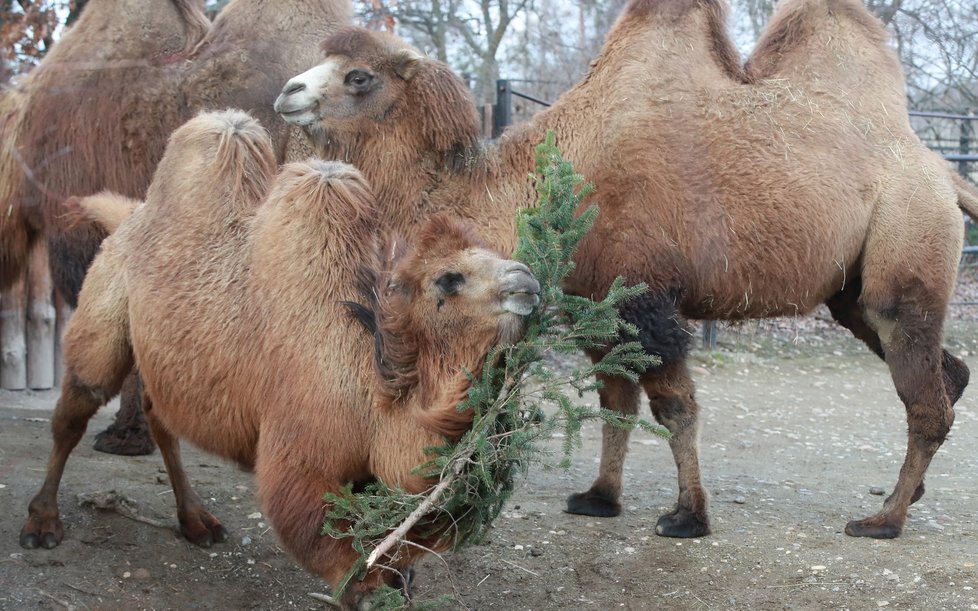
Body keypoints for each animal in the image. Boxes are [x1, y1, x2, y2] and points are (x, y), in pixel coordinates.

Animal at [276, 0, 976, 540]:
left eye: (359, 76)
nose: (287, 92)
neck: (555, 179)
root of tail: (943, 172)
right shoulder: (598, 303)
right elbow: (615, 401)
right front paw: (599, 498)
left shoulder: (645, 298)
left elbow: (673, 406)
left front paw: (688, 517)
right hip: (853, 293)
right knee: (946, 371)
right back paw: (908, 494)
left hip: (907, 248)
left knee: (924, 397)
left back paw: (884, 520)